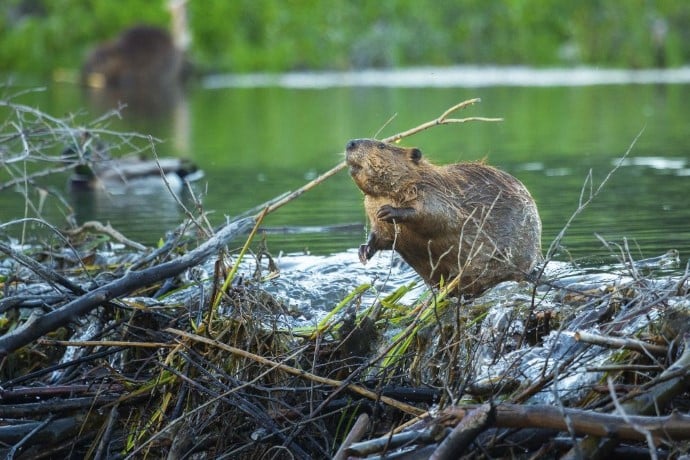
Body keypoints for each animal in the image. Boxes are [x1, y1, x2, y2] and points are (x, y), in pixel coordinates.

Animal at [346, 138, 540, 296]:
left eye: (382, 146)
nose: (350, 143)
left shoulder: (433, 191)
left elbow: (437, 215)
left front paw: (389, 211)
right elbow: (382, 236)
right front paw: (364, 251)